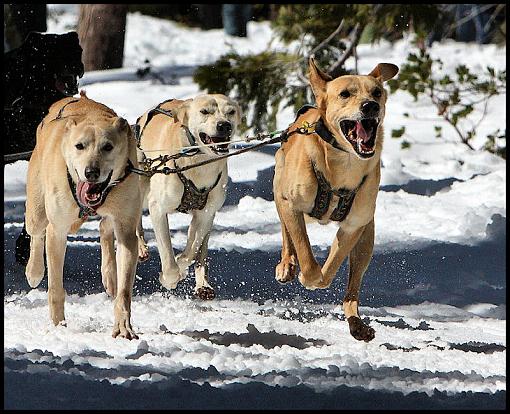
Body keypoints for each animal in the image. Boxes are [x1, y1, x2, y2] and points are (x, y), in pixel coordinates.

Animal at [24, 91, 141, 340]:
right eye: (79, 146)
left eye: (108, 146)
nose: (91, 172)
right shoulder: (57, 231)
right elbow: (55, 287)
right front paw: (58, 325)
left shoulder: (127, 230)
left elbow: (124, 292)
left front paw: (123, 326)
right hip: (37, 212)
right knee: (37, 233)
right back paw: (34, 271)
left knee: (105, 228)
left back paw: (110, 275)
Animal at [136, 95, 242, 300]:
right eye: (204, 111)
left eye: (231, 112)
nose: (224, 125)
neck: (199, 164)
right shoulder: (158, 209)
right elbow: (168, 257)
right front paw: (169, 279)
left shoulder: (205, 214)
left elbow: (192, 251)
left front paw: (182, 267)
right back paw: (141, 247)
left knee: (201, 252)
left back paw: (203, 285)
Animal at [272, 58, 400, 342]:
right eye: (345, 94)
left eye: (377, 92)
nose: (370, 106)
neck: (344, 165)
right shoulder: (290, 204)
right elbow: (304, 252)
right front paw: (304, 274)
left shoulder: (354, 226)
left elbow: (330, 268)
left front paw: (319, 278)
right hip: (279, 192)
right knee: (286, 233)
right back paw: (287, 264)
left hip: (366, 242)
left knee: (352, 293)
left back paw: (357, 324)